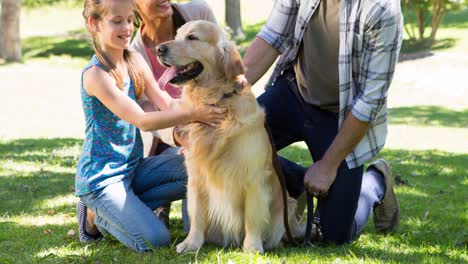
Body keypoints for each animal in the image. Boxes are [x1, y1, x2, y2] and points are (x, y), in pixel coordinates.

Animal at [157, 20, 304, 252]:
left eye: (192, 37)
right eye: (177, 35)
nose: (159, 49)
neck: (217, 99)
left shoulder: (254, 178)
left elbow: (252, 217)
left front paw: (252, 247)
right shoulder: (196, 177)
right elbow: (197, 215)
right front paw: (191, 243)